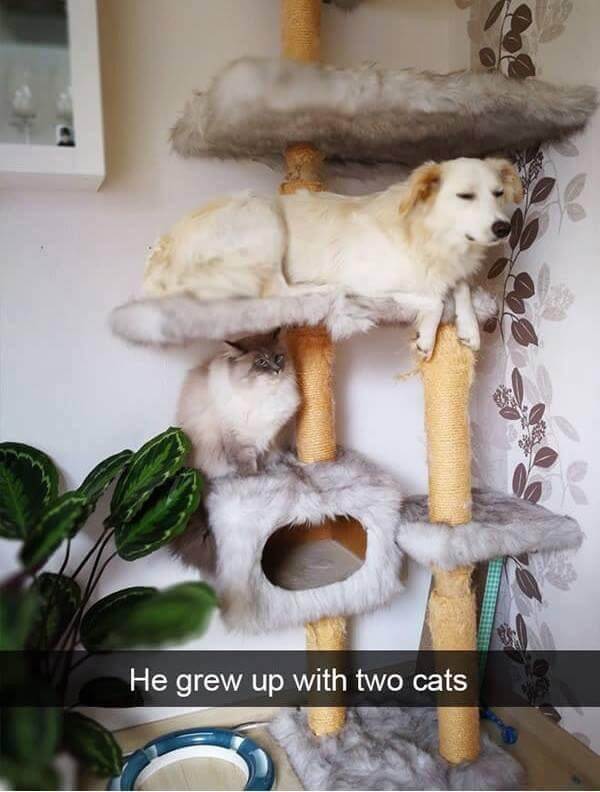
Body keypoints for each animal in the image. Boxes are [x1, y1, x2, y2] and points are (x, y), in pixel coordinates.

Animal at [143, 157, 522, 357]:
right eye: (465, 196)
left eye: (497, 193)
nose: (504, 228)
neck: (429, 239)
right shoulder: (373, 283)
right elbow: (434, 299)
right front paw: (427, 337)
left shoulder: (448, 269)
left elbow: (460, 287)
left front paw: (469, 328)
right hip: (264, 214)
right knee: (276, 290)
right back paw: (327, 290)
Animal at [177, 330, 300, 478]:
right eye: (261, 362)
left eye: (278, 358)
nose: (277, 370)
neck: (263, 394)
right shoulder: (238, 435)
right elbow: (246, 461)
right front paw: (251, 477)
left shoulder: (268, 435)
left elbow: (262, 457)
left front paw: (263, 472)